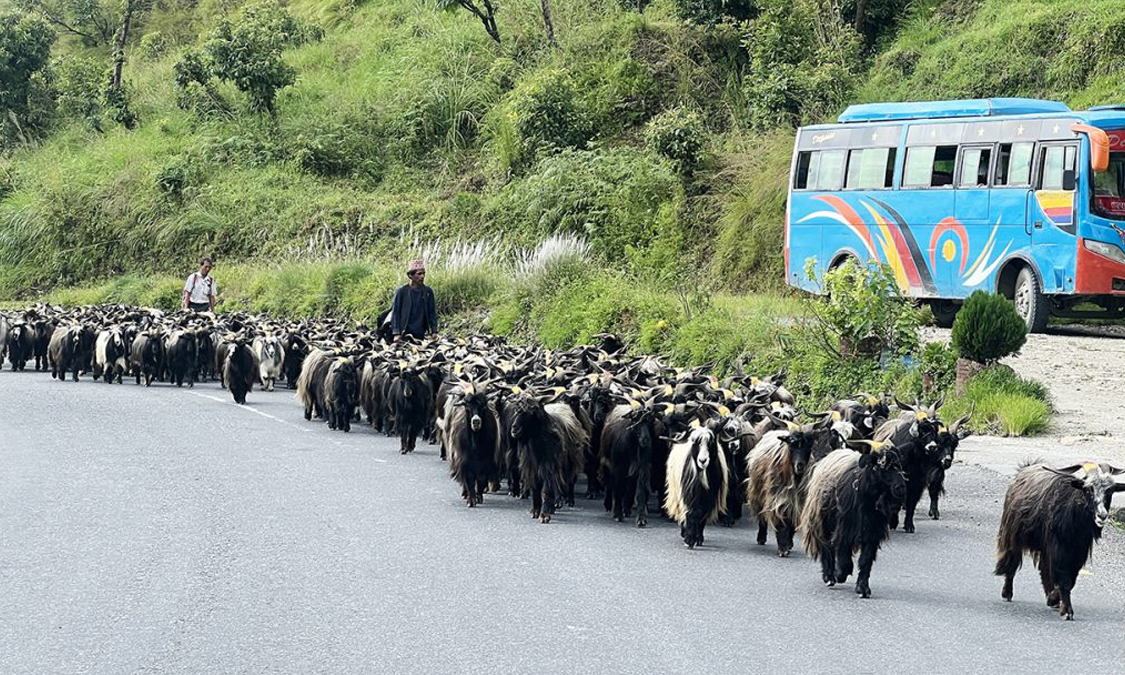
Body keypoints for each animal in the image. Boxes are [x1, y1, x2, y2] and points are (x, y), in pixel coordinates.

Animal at [801, 445, 904, 598]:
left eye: (898, 466)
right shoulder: (844, 529)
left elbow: (865, 560)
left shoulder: (872, 533)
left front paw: (863, 588)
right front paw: (839, 575)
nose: (900, 488)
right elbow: (844, 558)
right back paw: (829, 576)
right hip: (823, 522)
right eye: (879, 468)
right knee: (827, 547)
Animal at [999, 461, 1120, 621]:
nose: (1102, 515)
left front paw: (1055, 599)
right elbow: (1063, 579)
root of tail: (1025, 469)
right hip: (1012, 534)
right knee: (1011, 561)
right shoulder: (1058, 549)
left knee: (1044, 570)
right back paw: (1007, 592)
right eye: (1088, 490)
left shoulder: (1077, 554)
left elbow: (1070, 580)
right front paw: (1066, 610)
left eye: (1110, 491)